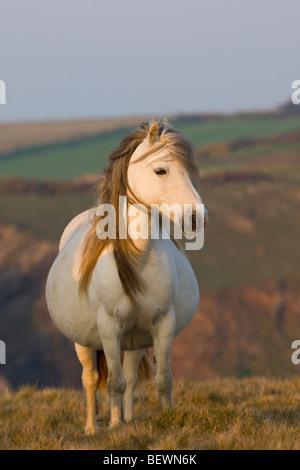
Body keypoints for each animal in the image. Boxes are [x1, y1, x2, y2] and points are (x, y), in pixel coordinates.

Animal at [45, 121, 207, 434]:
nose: (198, 217)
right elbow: (114, 383)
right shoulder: (109, 329)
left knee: (131, 376)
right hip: (85, 342)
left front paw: (168, 418)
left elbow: (162, 379)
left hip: (135, 341)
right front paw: (113, 425)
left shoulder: (162, 325)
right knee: (92, 380)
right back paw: (93, 427)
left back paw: (129, 419)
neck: (138, 259)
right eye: (161, 170)